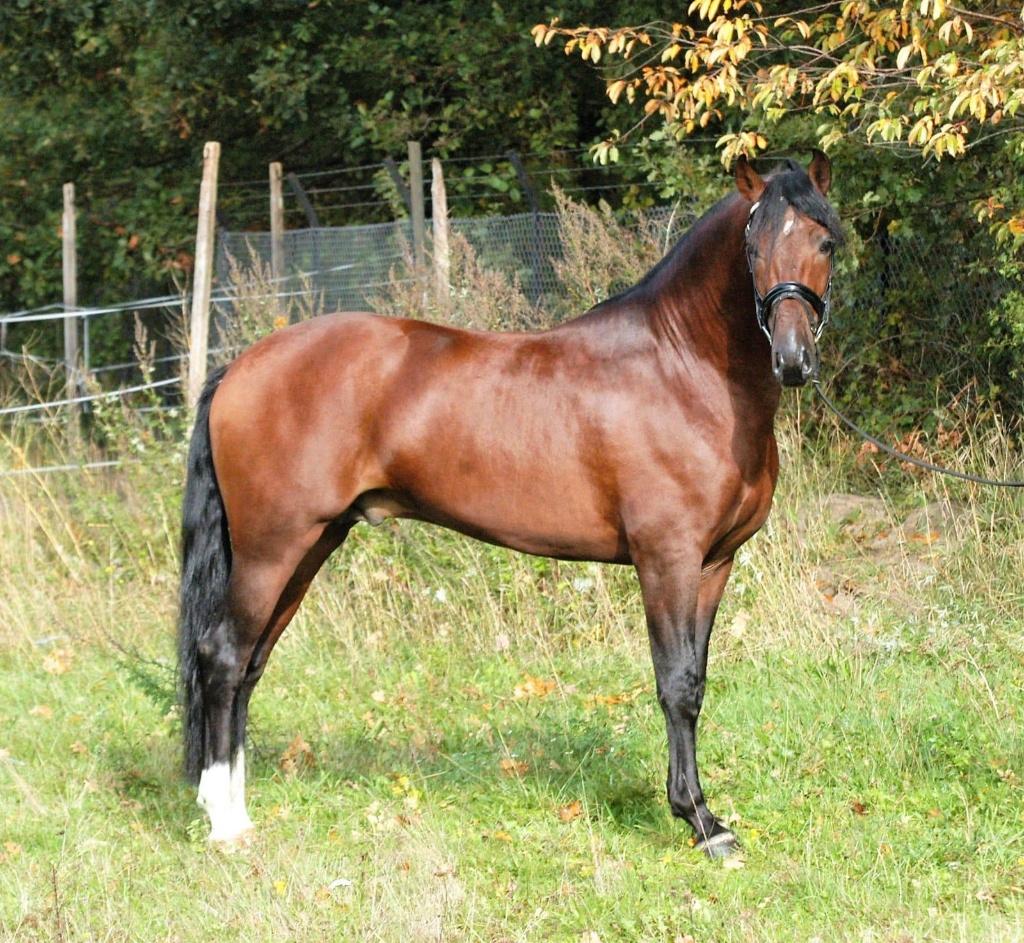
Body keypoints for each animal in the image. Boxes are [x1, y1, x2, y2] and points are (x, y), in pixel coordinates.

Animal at [178, 151, 842, 857]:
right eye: (752, 247)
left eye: (825, 242)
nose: (793, 360)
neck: (682, 368)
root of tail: (241, 366)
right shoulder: (667, 560)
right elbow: (677, 685)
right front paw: (700, 821)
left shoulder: (714, 564)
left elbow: (698, 677)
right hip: (271, 547)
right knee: (223, 656)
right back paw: (224, 822)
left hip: (309, 546)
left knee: (250, 664)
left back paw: (238, 812)